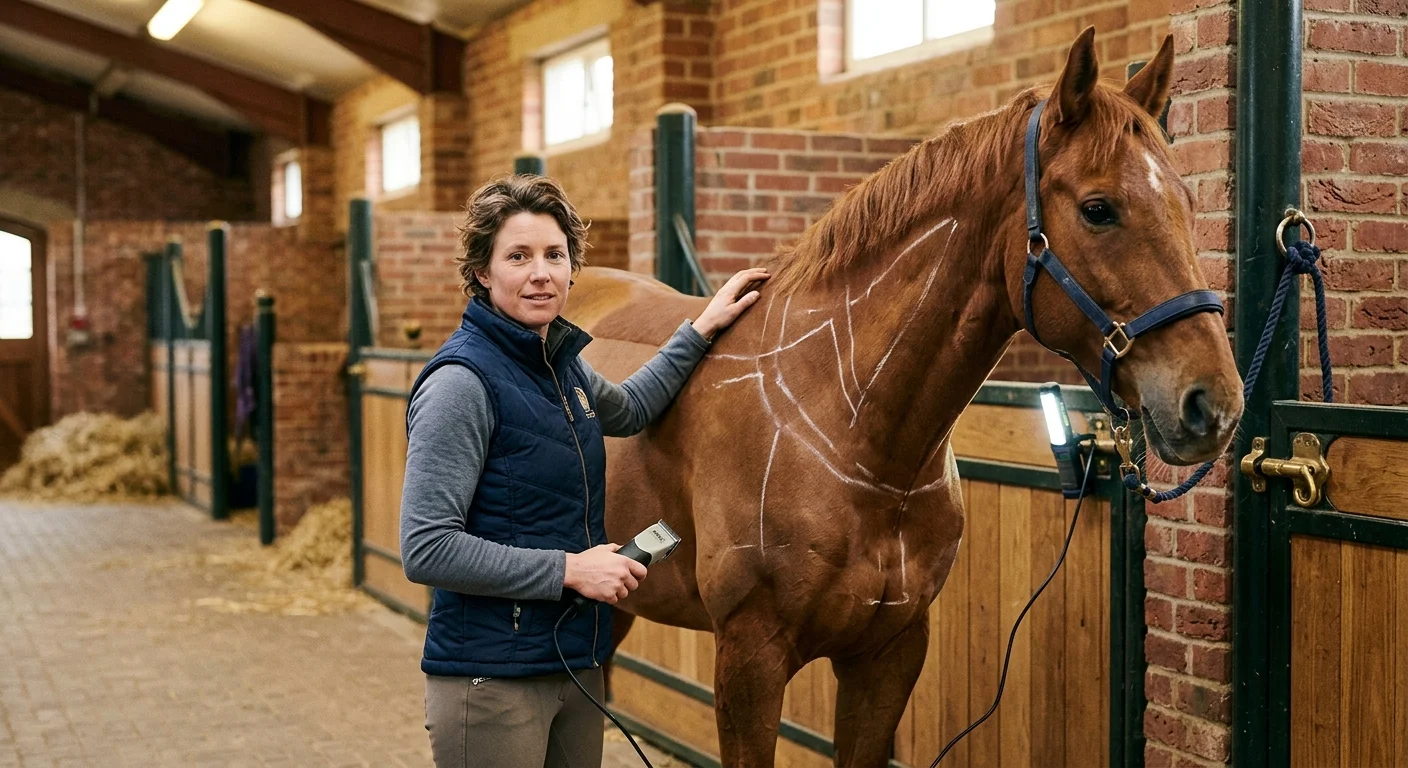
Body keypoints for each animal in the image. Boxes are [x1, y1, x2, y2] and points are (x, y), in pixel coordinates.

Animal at [563, 28, 1243, 767]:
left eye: (1188, 203)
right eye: (1098, 209)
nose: (1213, 403)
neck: (845, 423)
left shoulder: (890, 654)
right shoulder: (749, 660)